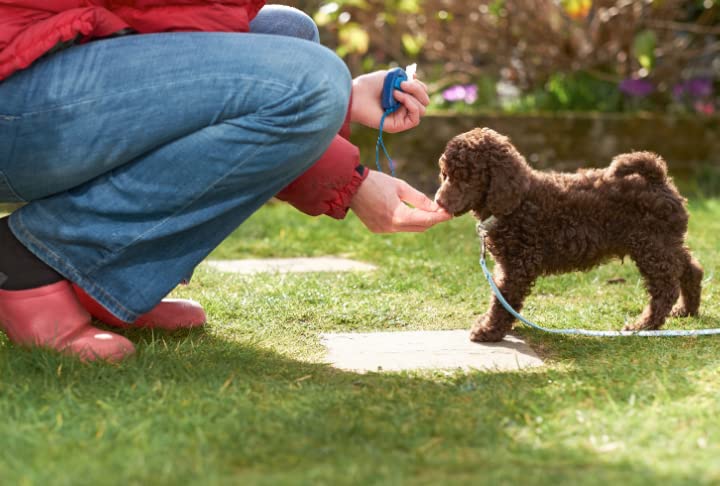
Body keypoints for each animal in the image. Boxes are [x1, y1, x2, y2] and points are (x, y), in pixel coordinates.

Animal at [434, 127, 704, 344]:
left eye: (466, 177)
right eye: (445, 174)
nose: (438, 201)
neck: (518, 201)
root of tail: (658, 179)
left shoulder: (518, 265)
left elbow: (503, 299)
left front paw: (488, 330)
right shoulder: (509, 265)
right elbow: (502, 297)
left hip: (651, 246)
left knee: (665, 288)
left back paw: (644, 325)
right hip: (665, 243)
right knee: (691, 269)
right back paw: (687, 310)